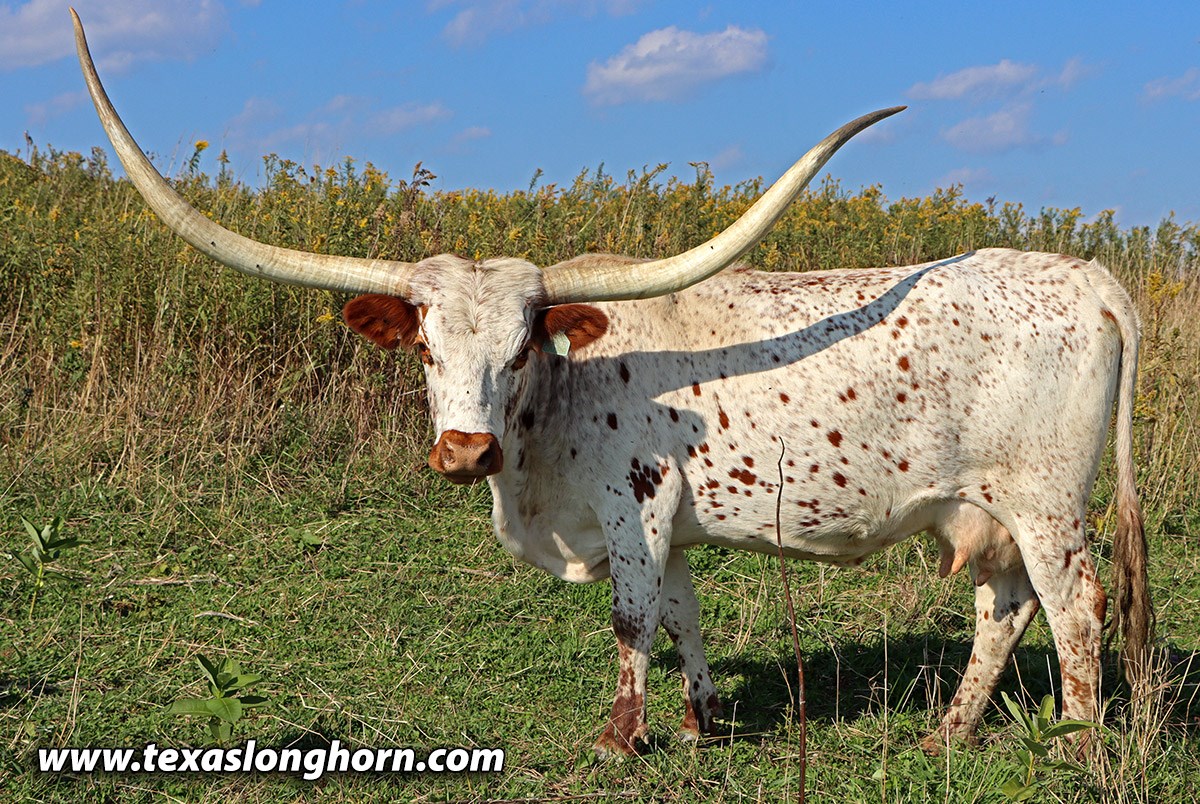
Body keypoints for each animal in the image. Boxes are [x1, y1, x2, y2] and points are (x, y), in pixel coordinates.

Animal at [73, 10, 1151, 757]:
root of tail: (1089, 276)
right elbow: (681, 613)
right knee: (1003, 609)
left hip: (1046, 501)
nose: (464, 450)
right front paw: (700, 720)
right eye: (425, 350)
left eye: (521, 346)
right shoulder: (670, 522)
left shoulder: (633, 506)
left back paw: (1078, 744)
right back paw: (948, 735)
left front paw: (618, 739)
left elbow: (633, 617)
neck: (543, 444)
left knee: (1075, 607)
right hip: (988, 509)